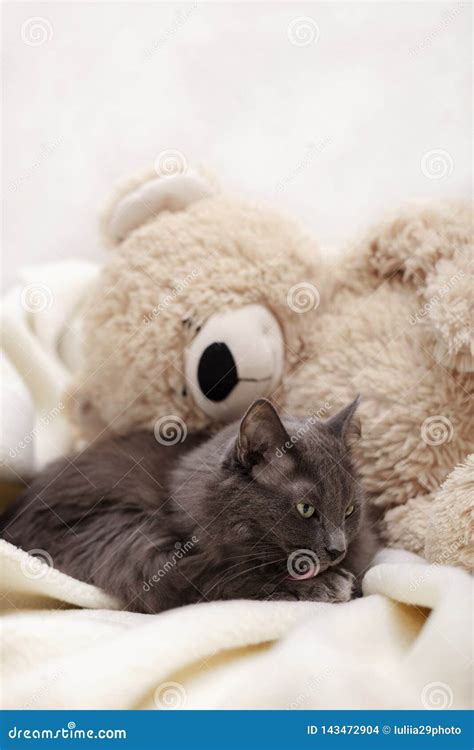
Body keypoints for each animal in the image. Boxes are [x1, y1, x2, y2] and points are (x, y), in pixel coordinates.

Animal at [0, 396, 378, 612]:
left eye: (349, 510)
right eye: (306, 509)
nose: (338, 550)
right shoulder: (154, 562)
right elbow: (228, 578)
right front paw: (327, 586)